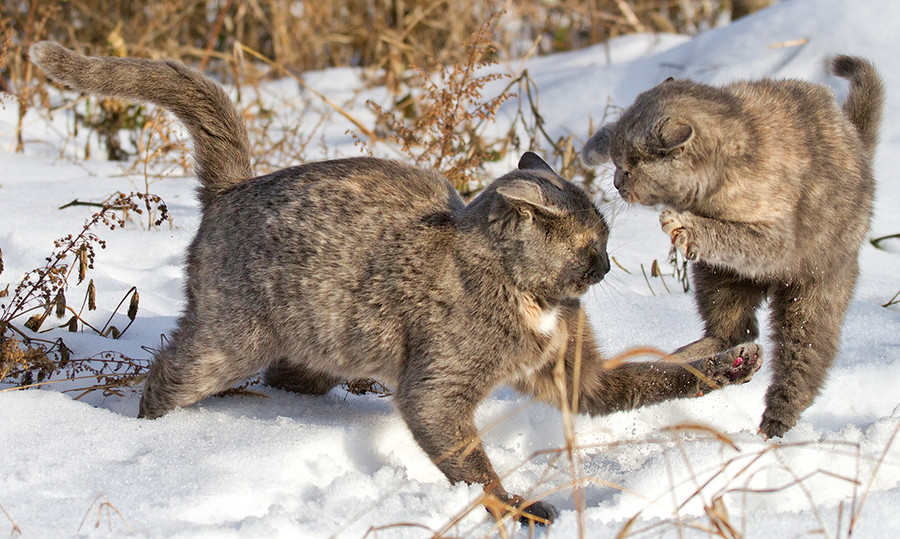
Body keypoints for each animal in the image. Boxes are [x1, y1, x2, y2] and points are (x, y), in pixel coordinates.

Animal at [35, 41, 764, 524]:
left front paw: (731, 364)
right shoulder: (436, 391)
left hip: (318, 345)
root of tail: (236, 186)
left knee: (285, 377)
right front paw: (515, 505)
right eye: (595, 244)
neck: (532, 301)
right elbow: (471, 460)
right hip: (226, 341)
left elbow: (659, 375)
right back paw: (147, 439)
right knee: (165, 376)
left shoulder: (577, 378)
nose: (609, 265)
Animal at [580, 57, 884, 440]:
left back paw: (773, 426)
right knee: (733, 331)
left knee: (801, 367)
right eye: (618, 162)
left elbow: (731, 235)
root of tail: (859, 146)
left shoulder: (774, 237)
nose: (617, 182)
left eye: (630, 169)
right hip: (718, 278)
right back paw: (690, 359)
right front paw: (593, 146)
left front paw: (684, 225)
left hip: (811, 299)